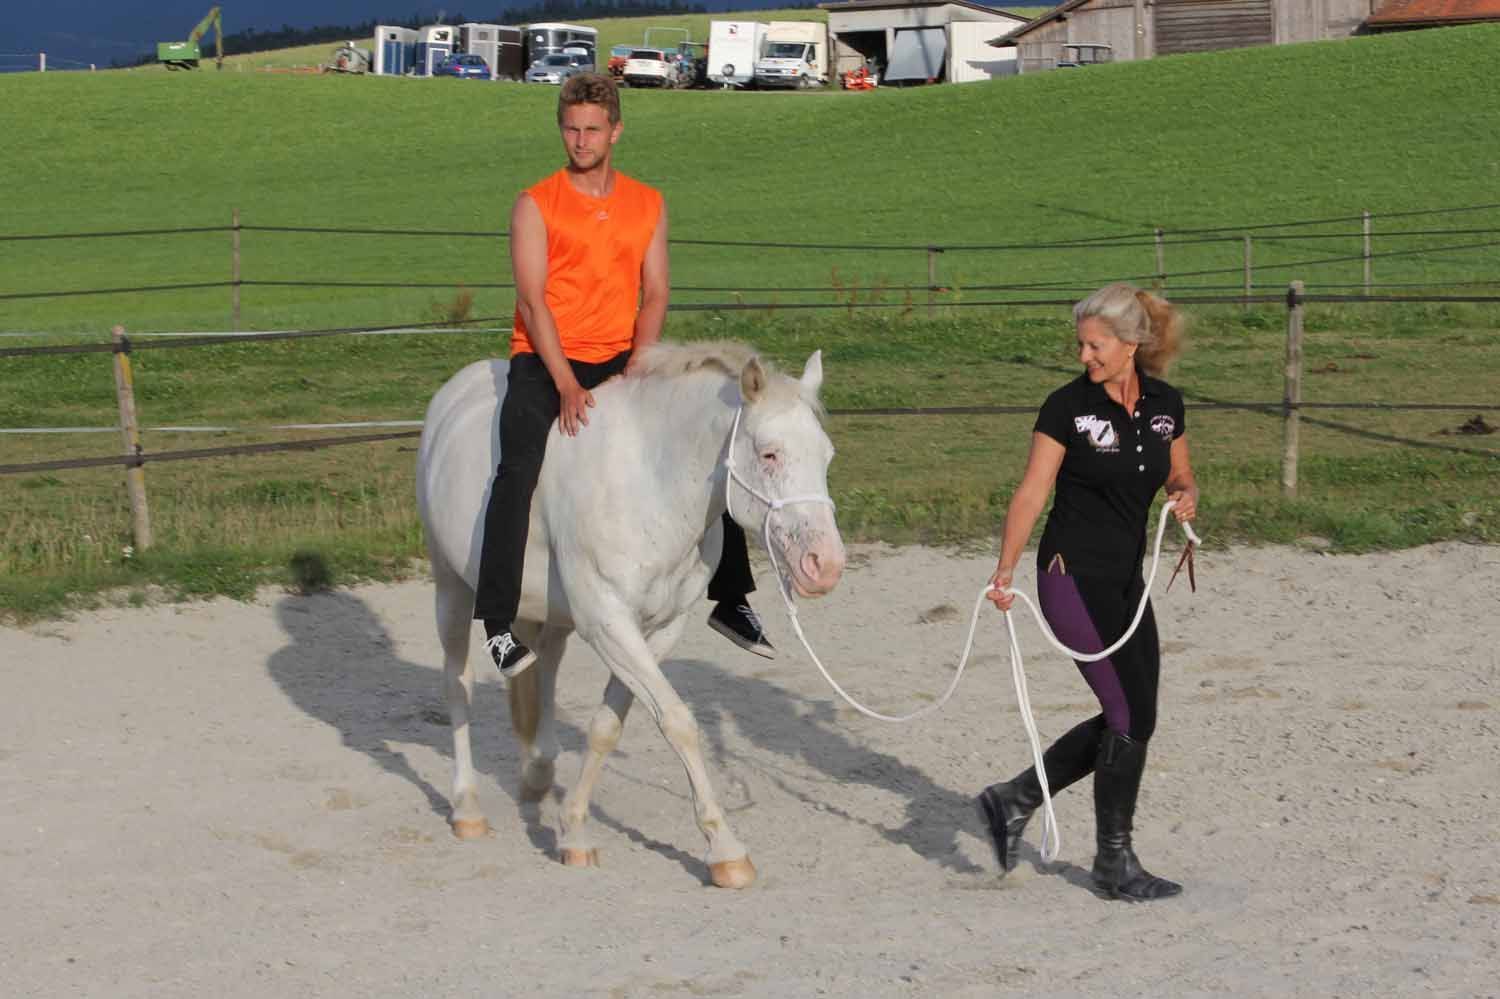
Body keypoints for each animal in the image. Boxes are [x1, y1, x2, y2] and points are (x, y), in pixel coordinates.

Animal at [415, 341, 846, 888]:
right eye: (770, 454)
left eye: (826, 456)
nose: (825, 564)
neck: (651, 480)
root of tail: (455, 390)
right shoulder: (608, 622)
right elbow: (679, 721)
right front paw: (725, 849)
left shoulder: (656, 629)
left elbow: (607, 725)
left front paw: (574, 829)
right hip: (450, 586)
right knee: (458, 684)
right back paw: (467, 806)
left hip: (551, 614)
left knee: (544, 669)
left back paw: (539, 770)